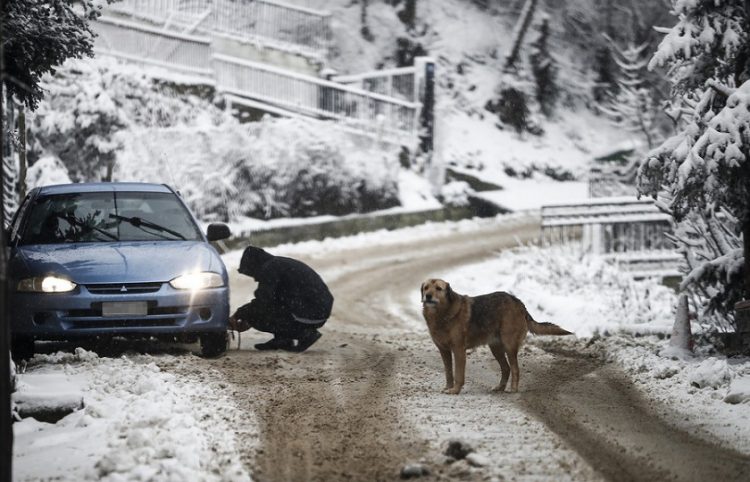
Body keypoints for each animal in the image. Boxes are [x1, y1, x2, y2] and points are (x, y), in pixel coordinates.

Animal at [420, 278, 572, 396]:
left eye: (438, 288)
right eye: (426, 288)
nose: (428, 296)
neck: (442, 314)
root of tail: (518, 302)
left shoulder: (458, 351)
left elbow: (458, 374)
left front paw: (455, 390)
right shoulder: (444, 351)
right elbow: (448, 372)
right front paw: (448, 388)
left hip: (509, 346)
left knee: (515, 369)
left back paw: (513, 389)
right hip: (496, 348)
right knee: (506, 368)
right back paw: (500, 387)